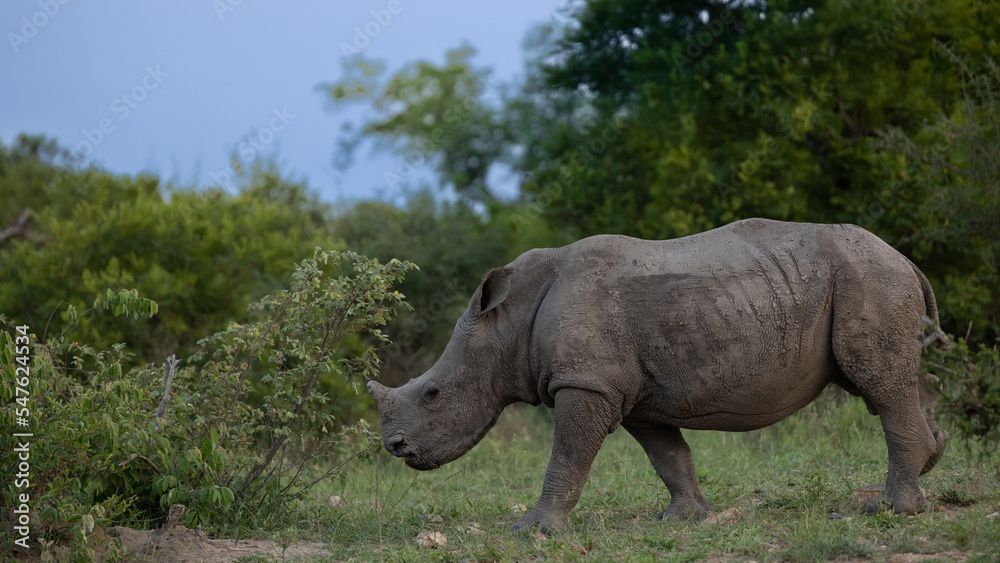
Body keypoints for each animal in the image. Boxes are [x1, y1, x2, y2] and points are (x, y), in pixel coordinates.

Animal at [367, 218, 948, 531]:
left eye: (433, 392)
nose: (395, 447)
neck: (508, 321)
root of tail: (906, 259)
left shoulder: (586, 382)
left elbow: (567, 456)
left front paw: (534, 528)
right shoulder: (631, 393)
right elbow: (669, 456)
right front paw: (685, 519)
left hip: (869, 278)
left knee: (877, 383)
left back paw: (888, 510)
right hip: (863, 279)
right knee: (884, 384)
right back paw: (928, 464)